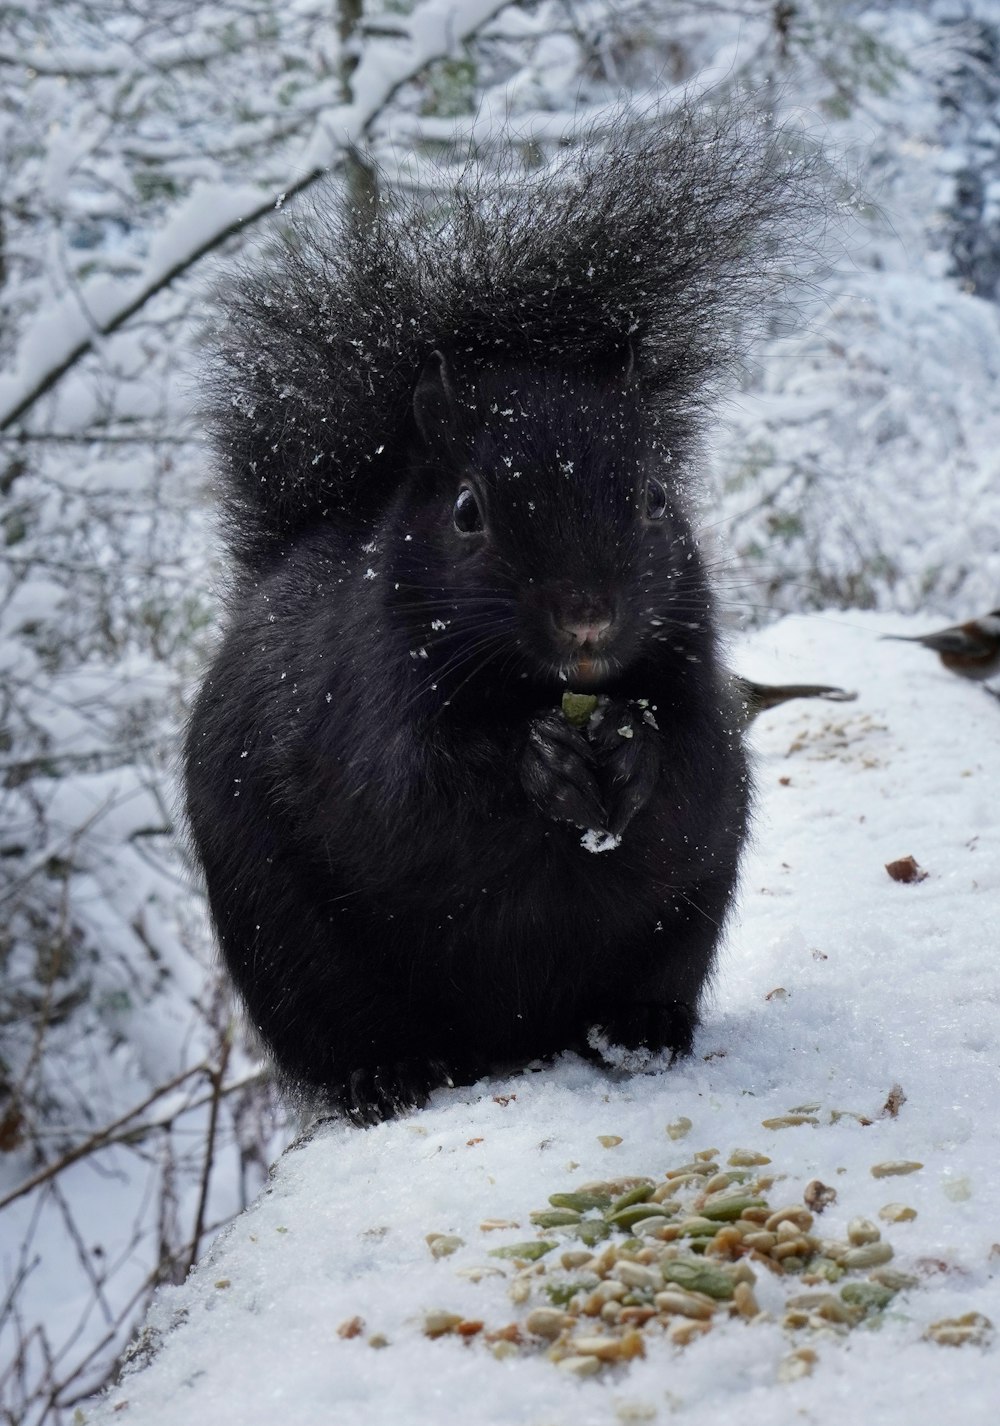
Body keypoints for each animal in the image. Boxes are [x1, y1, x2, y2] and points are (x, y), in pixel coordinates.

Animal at [184, 103, 821, 1123]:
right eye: (467, 512)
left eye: (655, 497)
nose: (590, 622)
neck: (534, 689)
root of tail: (511, 1043)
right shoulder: (351, 709)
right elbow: (406, 802)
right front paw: (540, 762)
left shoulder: (693, 661)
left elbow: (695, 763)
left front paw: (628, 749)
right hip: (297, 958)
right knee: (351, 1032)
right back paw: (386, 1072)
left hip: (687, 914)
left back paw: (639, 1027)